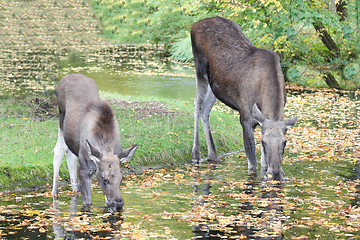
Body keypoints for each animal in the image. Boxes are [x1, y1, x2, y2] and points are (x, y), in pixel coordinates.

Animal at [52, 73, 138, 212]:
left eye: (121, 178)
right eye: (105, 179)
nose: (119, 204)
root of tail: (67, 76)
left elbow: (107, 200)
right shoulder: (84, 169)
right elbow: (88, 204)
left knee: (70, 154)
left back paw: (74, 190)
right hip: (60, 118)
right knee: (59, 149)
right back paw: (54, 192)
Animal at [190, 16, 296, 181]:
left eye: (284, 143)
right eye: (263, 143)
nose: (277, 173)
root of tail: (195, 24)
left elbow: (263, 164)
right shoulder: (246, 120)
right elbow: (253, 165)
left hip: (215, 85)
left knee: (206, 109)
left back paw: (213, 155)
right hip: (200, 71)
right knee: (197, 105)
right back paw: (196, 154)